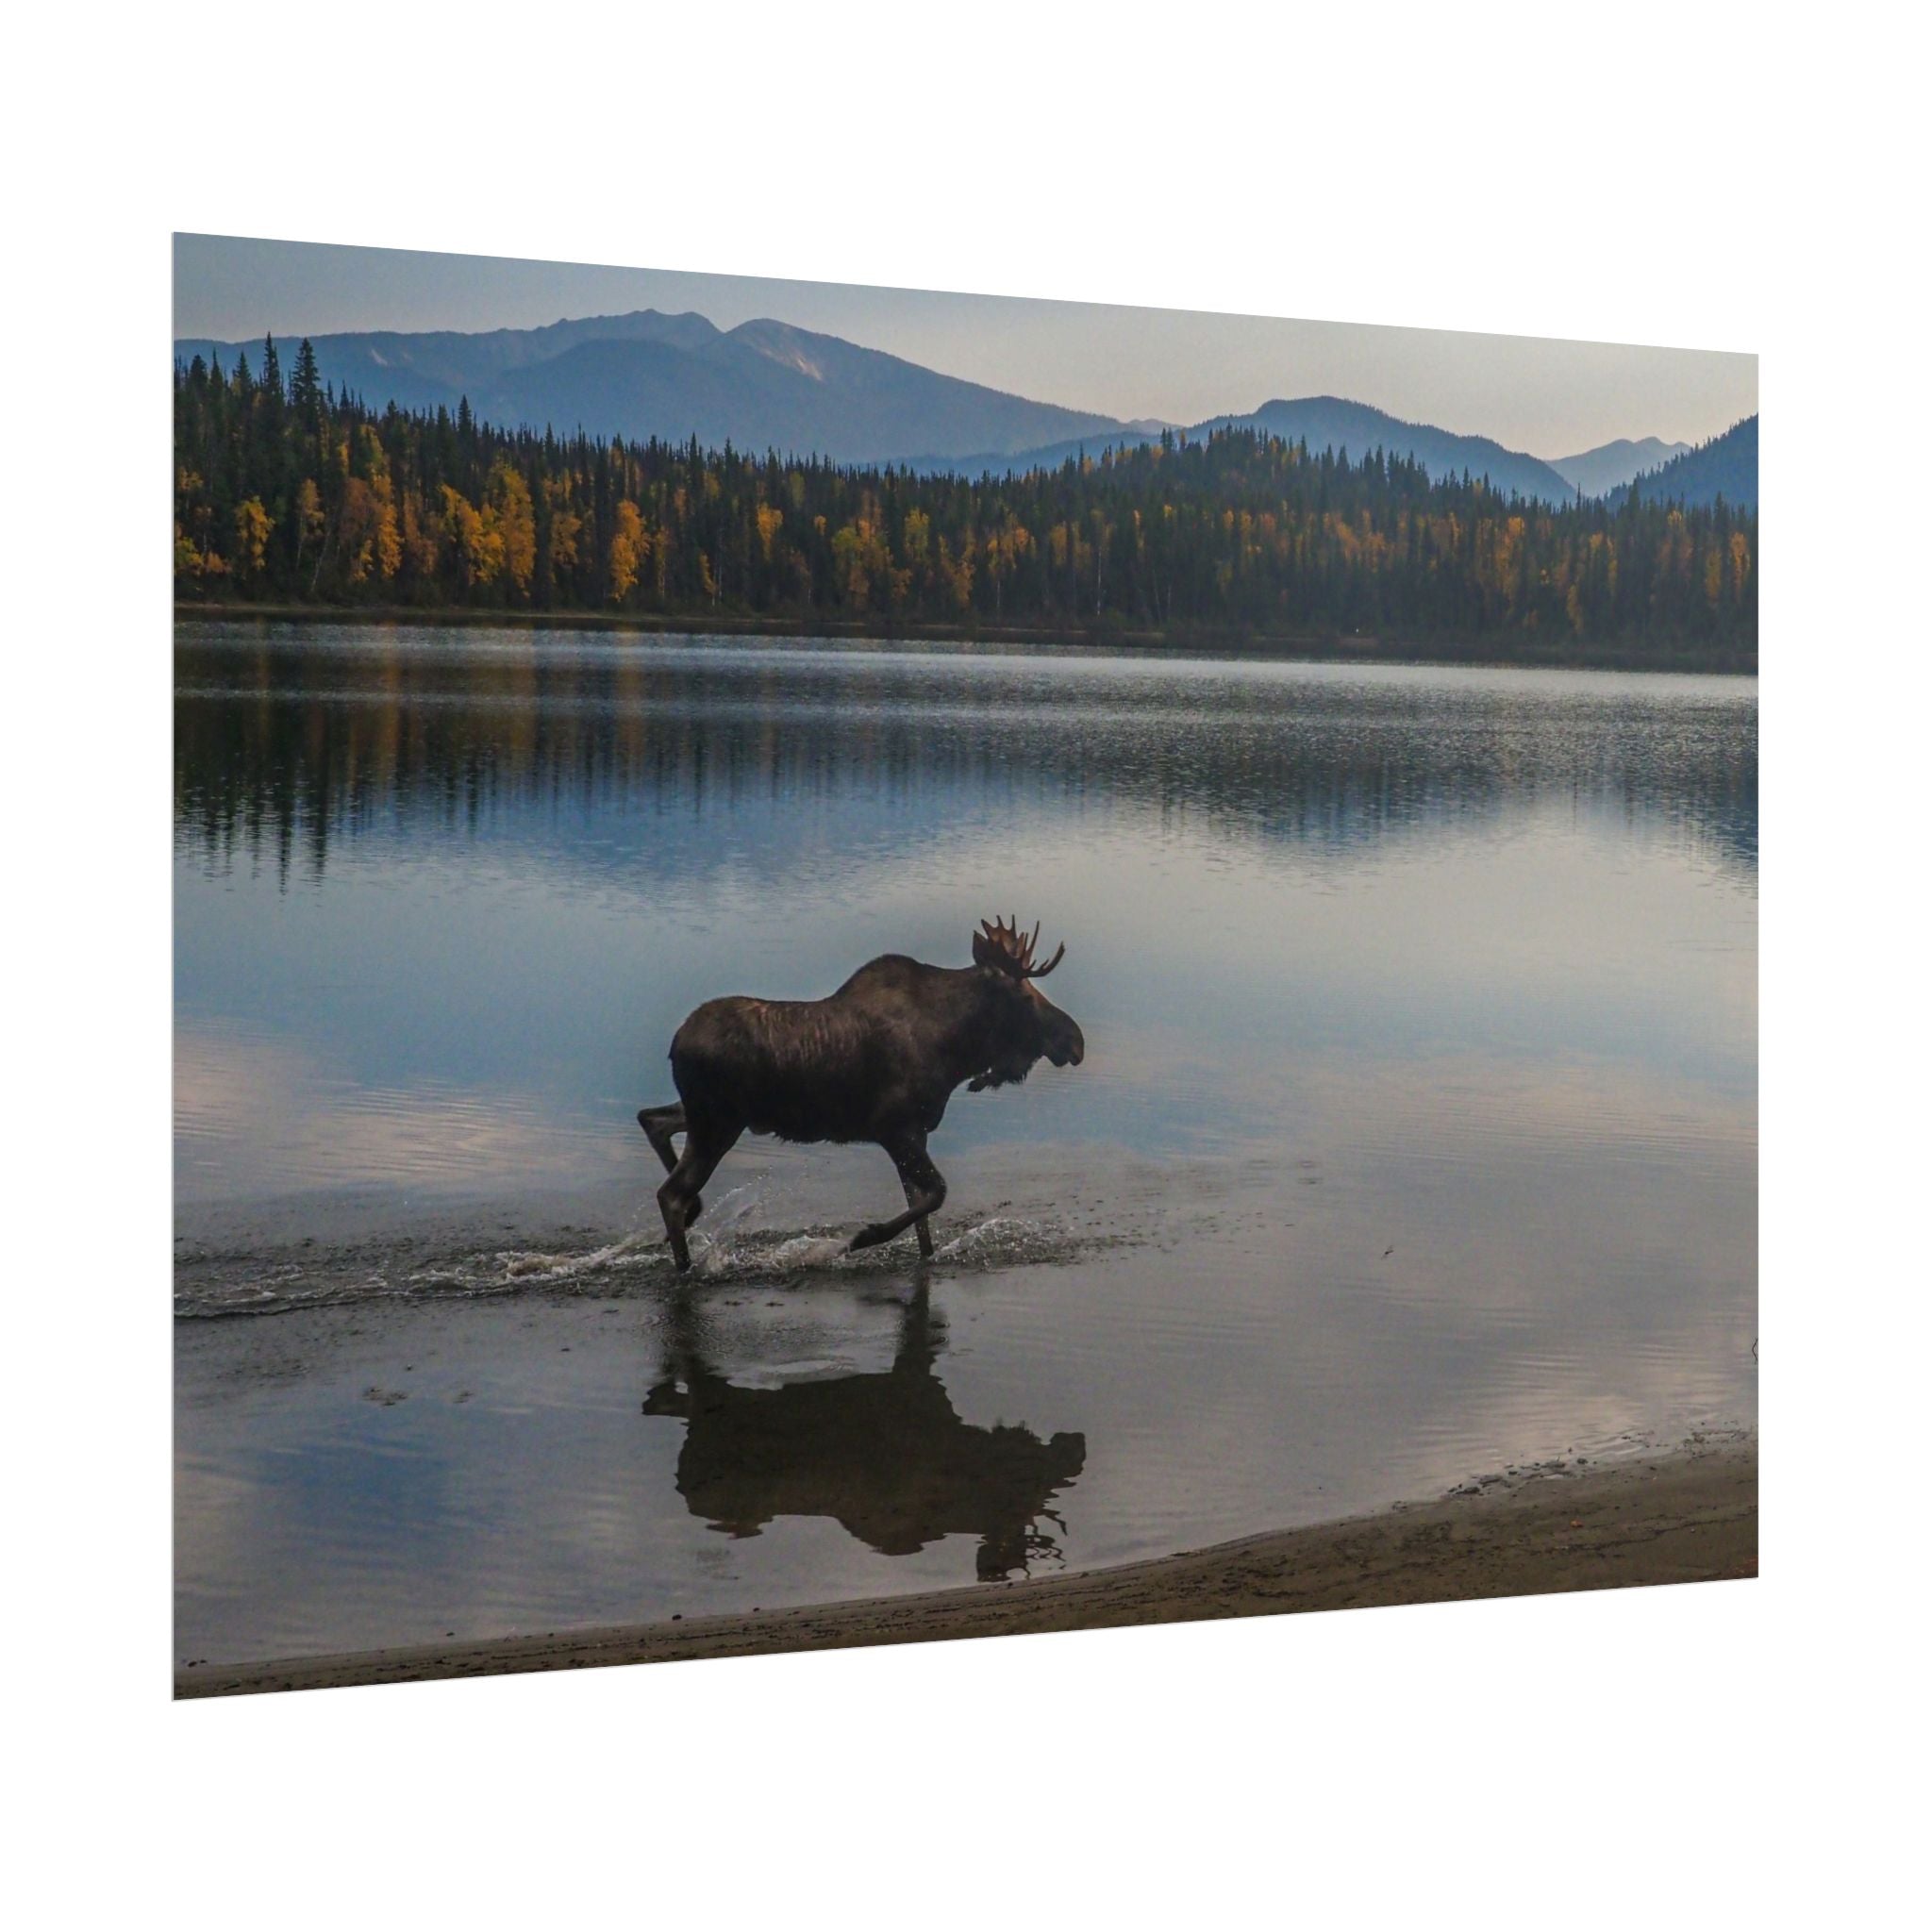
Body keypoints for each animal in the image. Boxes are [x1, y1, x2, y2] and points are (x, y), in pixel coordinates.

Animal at [638, 916, 1085, 1271]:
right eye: (1025, 996)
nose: (1076, 1041)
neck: (955, 1050)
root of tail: (675, 1044)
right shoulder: (894, 1128)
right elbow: (936, 1194)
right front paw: (860, 1238)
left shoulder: (915, 1134)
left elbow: (922, 1215)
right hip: (717, 1123)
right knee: (670, 1193)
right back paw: (685, 1265)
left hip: (709, 1116)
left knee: (652, 1120)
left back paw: (693, 1215)